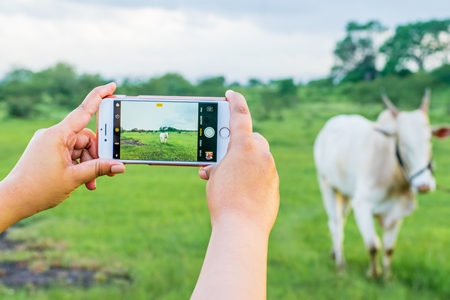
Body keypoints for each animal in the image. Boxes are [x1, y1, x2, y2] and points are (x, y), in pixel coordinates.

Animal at [312, 90, 450, 278]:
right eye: (402, 142)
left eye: (429, 140)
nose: (423, 185)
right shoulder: (362, 205)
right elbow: (373, 245)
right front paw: (373, 273)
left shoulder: (397, 210)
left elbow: (389, 249)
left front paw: (386, 276)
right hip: (326, 185)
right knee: (336, 225)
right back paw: (340, 265)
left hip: (345, 192)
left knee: (341, 220)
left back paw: (334, 254)